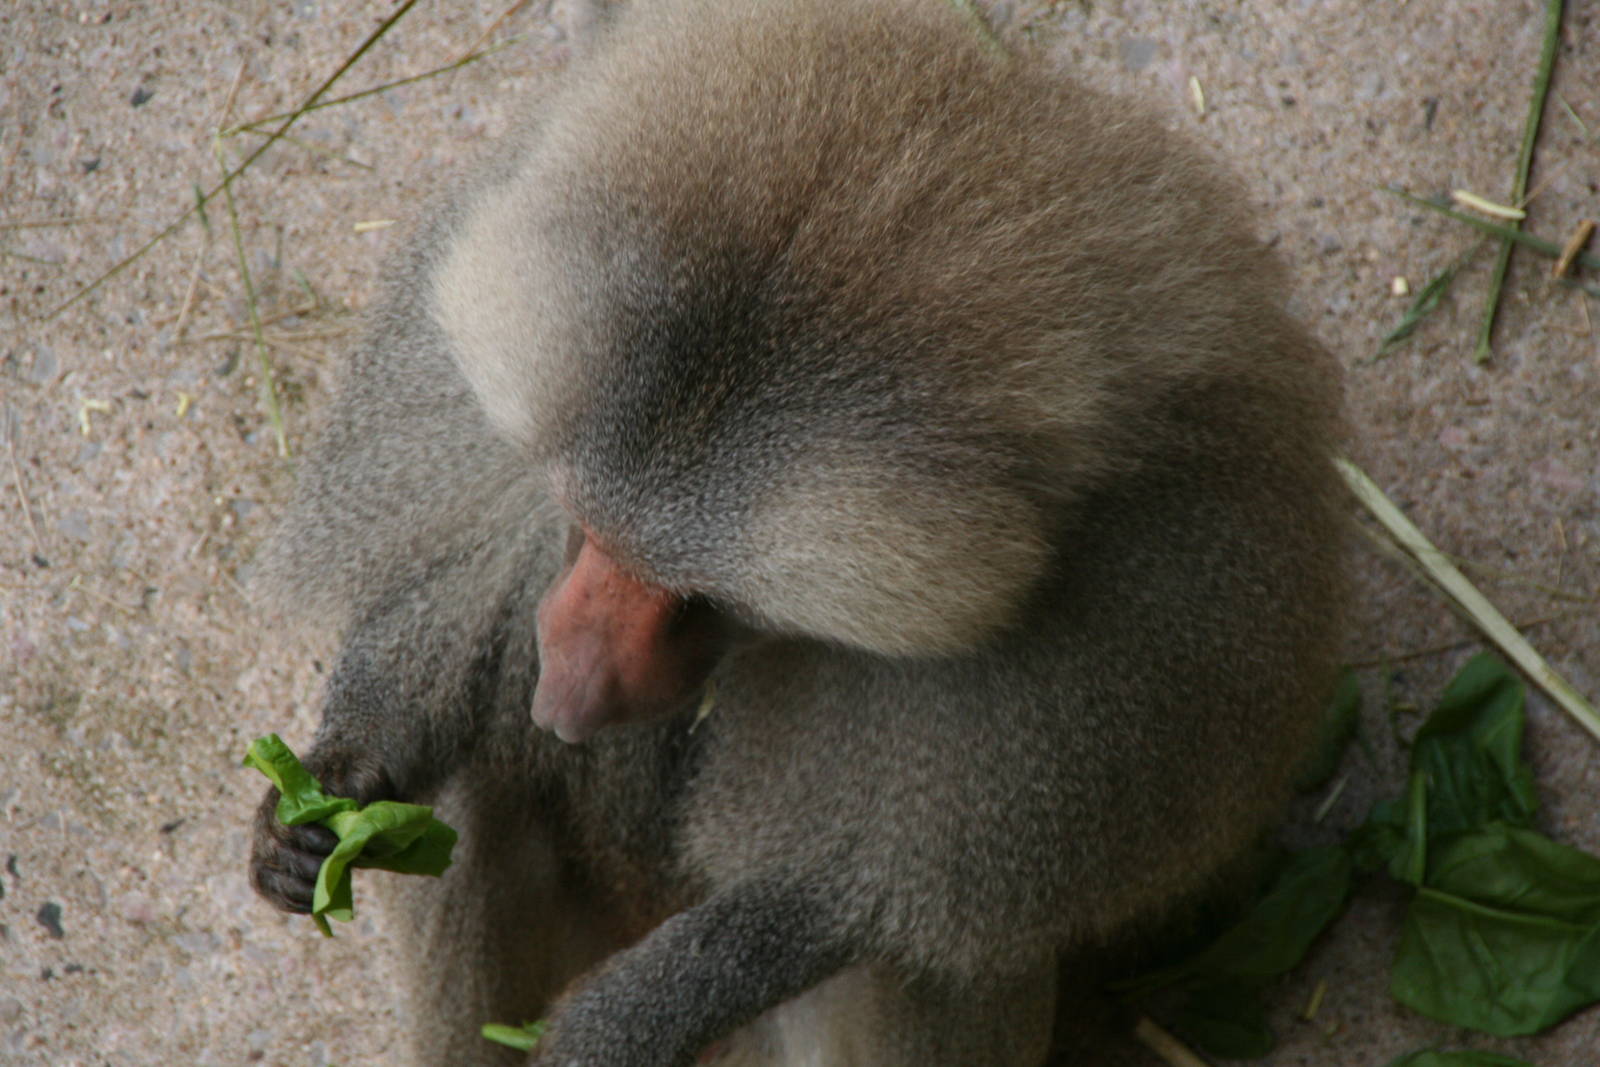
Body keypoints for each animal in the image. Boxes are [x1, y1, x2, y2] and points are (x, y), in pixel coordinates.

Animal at [247, 0, 1347, 1064]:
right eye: (587, 531)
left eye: (700, 599)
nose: (562, 694)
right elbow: (442, 631)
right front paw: (322, 800)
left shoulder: (1136, 619)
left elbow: (856, 894)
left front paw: (612, 1026)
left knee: (923, 958)